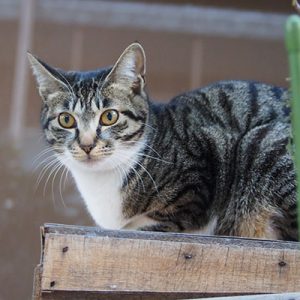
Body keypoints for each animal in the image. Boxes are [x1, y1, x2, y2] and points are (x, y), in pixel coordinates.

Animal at [27, 42, 298, 241]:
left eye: (109, 116)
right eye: (66, 119)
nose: (86, 144)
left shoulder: (196, 180)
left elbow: (150, 225)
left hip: (261, 143)